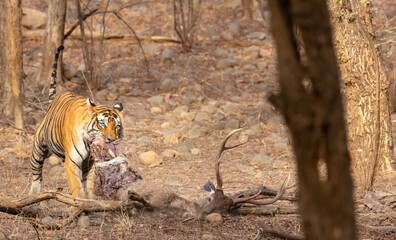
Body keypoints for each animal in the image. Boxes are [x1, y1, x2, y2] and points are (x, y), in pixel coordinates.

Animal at [29, 46, 124, 200]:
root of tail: (54, 100)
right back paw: (34, 194)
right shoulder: (72, 162)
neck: (89, 143)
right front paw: (79, 204)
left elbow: (90, 187)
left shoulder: (91, 163)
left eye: (117, 126)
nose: (111, 139)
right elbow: (77, 189)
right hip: (39, 148)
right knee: (36, 173)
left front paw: (92, 202)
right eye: (102, 124)